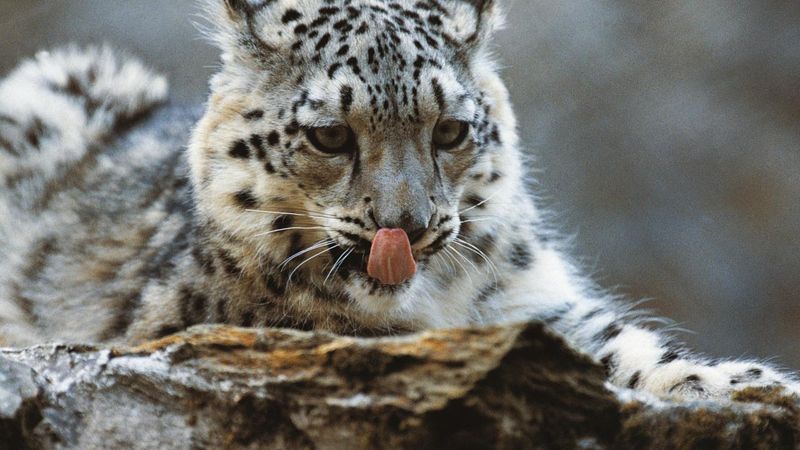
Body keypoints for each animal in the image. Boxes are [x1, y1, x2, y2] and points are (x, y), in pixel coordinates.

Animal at [0, 0, 796, 400]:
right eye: (328, 135)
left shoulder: (528, 301)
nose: (403, 229)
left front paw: (741, 381)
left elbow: (616, 344)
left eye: (450, 129)